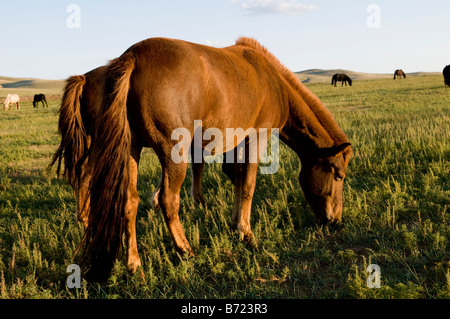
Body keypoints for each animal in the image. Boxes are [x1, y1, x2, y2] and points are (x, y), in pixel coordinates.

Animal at [52, 38, 354, 282]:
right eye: (338, 175)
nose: (336, 221)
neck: (274, 83)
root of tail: (132, 58)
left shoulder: (235, 142)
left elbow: (236, 179)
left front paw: (233, 221)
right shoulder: (256, 137)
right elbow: (247, 185)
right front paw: (246, 232)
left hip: (129, 150)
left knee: (128, 201)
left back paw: (133, 263)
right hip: (171, 153)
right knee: (168, 200)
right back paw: (184, 248)